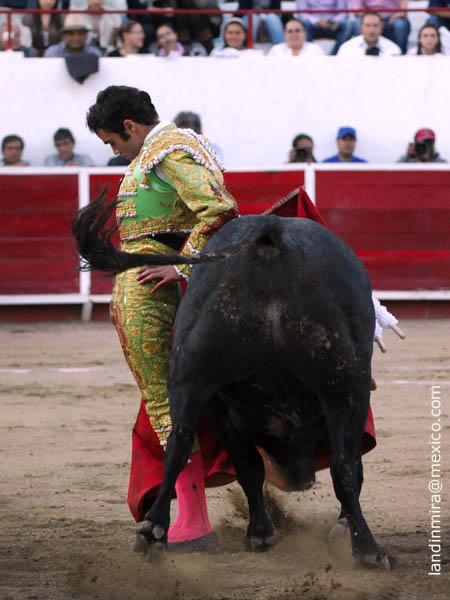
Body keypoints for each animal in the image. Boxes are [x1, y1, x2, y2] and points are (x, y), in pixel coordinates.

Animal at [73, 192, 390, 568]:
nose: (299, 479)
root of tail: (270, 238)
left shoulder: (219, 399)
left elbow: (247, 463)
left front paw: (260, 532)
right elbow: (346, 466)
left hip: (191, 374)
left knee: (179, 441)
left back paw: (153, 532)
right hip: (343, 382)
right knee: (342, 466)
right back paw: (368, 549)